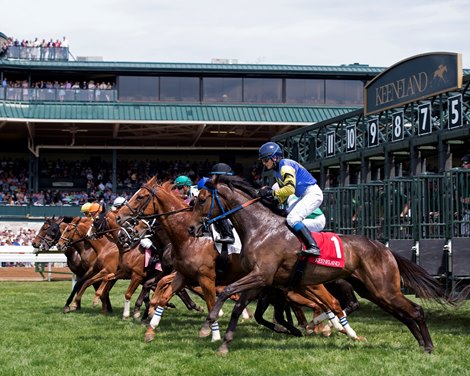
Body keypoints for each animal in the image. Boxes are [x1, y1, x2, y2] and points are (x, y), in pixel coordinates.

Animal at [115, 178, 362, 342]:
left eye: (140, 196)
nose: (120, 221)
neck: (186, 237)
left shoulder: (206, 276)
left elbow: (211, 302)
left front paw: (213, 333)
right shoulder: (183, 274)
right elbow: (164, 293)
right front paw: (150, 326)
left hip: (304, 283)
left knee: (329, 302)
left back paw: (333, 328)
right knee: (323, 303)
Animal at [190, 175, 452, 354]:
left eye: (201, 199)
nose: (192, 228)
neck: (261, 228)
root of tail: (384, 248)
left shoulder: (261, 276)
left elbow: (227, 291)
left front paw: (207, 324)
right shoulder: (260, 279)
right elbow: (237, 306)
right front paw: (224, 343)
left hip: (384, 288)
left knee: (415, 311)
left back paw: (428, 346)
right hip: (374, 290)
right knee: (403, 314)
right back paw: (421, 343)